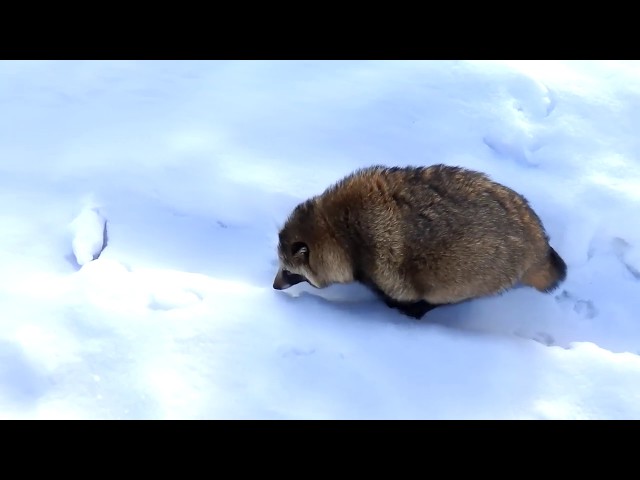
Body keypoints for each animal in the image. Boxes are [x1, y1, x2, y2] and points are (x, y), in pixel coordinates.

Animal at [272, 165, 568, 318]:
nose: (274, 286)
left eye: (289, 270)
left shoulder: (381, 259)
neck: (336, 229)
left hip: (479, 268)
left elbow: (398, 290)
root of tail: (536, 240)